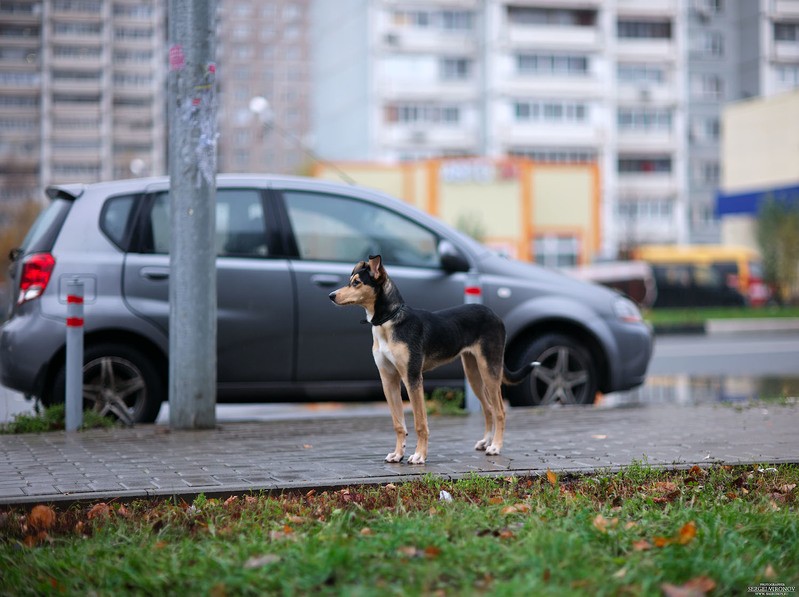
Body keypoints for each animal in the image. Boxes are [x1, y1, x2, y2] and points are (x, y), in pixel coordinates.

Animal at [328, 254, 540, 464]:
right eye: (350, 281)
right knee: (488, 409)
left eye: (356, 283)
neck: (388, 322)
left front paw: (419, 455)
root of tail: (494, 314)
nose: (331, 296)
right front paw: (397, 454)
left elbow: (420, 423)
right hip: (473, 374)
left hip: (490, 370)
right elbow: (398, 424)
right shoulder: (388, 380)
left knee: (499, 411)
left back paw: (495, 446)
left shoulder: (412, 378)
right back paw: (485, 442)